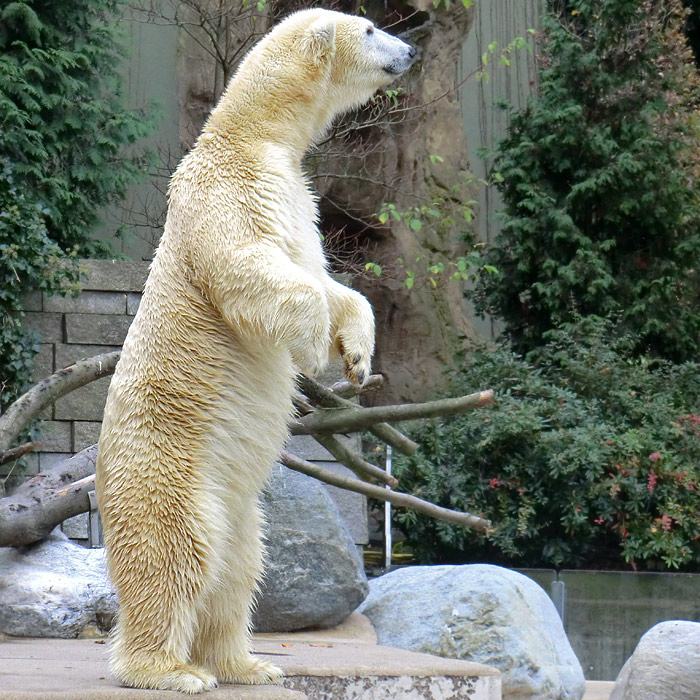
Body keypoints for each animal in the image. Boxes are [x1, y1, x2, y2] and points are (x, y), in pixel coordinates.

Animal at [93, 6, 416, 696]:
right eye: (370, 29)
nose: (409, 49)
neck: (253, 135)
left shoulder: (297, 195)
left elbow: (327, 278)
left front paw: (357, 356)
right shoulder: (225, 190)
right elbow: (249, 266)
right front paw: (315, 345)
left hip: (240, 506)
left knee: (240, 568)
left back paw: (246, 662)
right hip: (171, 471)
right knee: (176, 554)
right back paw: (169, 670)